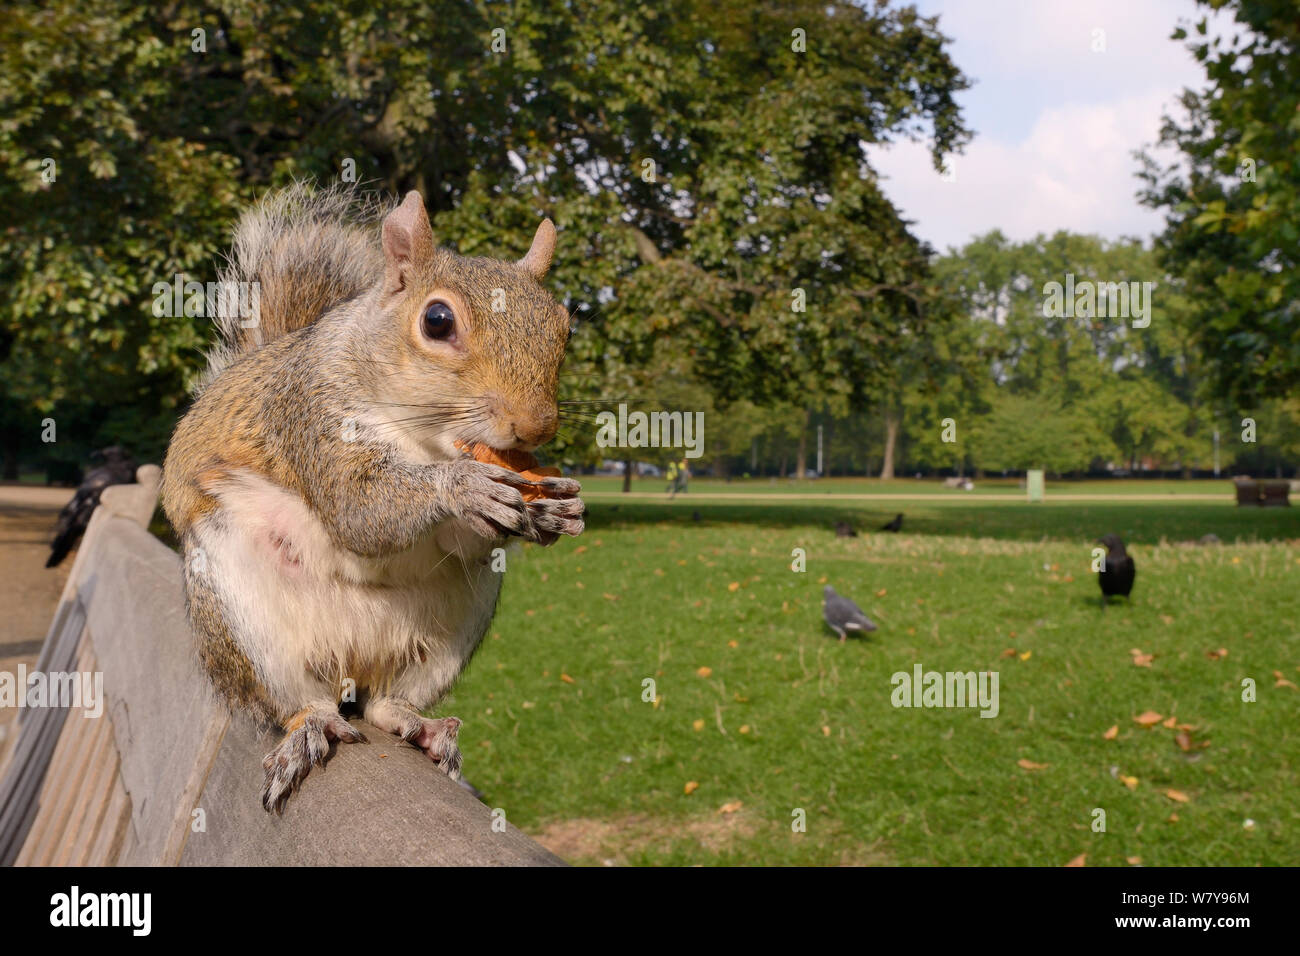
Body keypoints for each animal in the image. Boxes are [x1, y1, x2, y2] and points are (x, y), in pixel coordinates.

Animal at [162, 183, 585, 811]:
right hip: (239, 609)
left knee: (389, 701)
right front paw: (465, 485)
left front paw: (555, 510)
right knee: (294, 699)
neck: (425, 441)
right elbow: (358, 511)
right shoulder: (311, 415)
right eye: (437, 320)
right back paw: (310, 725)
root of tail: (351, 662)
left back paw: (421, 726)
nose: (535, 427)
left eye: (565, 328)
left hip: (452, 627)